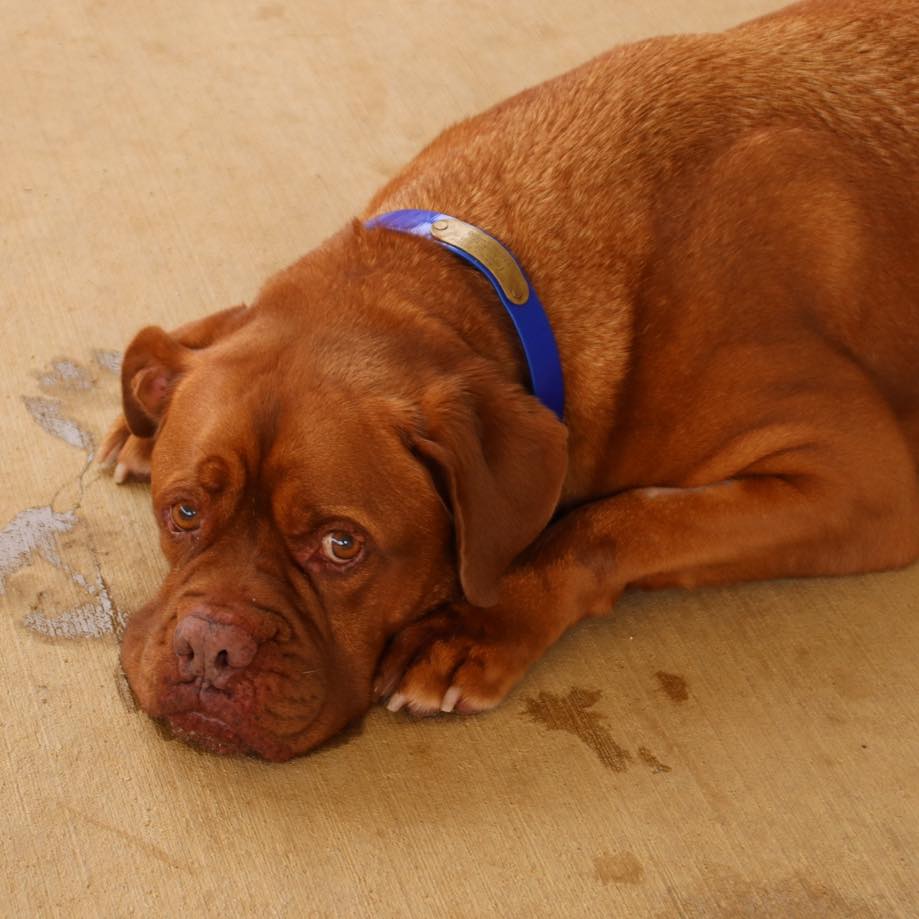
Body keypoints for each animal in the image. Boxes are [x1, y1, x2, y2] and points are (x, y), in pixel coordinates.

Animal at [100, 0, 919, 760]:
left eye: (342, 545)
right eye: (182, 512)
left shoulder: (859, 479)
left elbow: (619, 519)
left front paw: (478, 622)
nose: (210, 648)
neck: (476, 264)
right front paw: (153, 393)